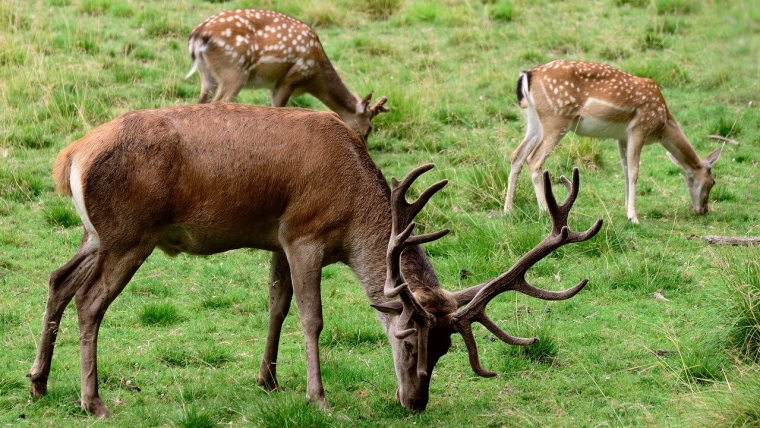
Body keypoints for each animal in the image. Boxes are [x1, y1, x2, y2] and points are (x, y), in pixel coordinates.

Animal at [28, 102, 600, 416]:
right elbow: (311, 317)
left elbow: (276, 306)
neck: (351, 213)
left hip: (97, 234)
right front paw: (317, 397)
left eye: (445, 350)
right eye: (407, 340)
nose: (415, 402)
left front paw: (268, 379)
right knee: (89, 301)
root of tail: (70, 157)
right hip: (130, 234)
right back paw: (94, 401)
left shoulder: (277, 239)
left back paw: (38, 382)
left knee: (57, 279)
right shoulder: (303, 235)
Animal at [183, 8, 386, 139]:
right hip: (234, 71)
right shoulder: (290, 79)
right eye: (369, 128)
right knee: (220, 102)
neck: (314, 75)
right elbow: (279, 109)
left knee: (201, 101)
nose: (363, 147)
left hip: (207, 74)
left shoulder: (273, 85)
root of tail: (197, 36)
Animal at [504, 59, 724, 224]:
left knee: (517, 155)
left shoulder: (622, 137)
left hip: (534, 120)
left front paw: (626, 209)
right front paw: (633, 217)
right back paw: (543, 210)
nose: (703, 210)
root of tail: (527, 75)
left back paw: (508, 210)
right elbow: (634, 171)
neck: (663, 123)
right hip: (556, 119)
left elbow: (625, 170)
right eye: (712, 182)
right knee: (534, 159)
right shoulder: (639, 129)